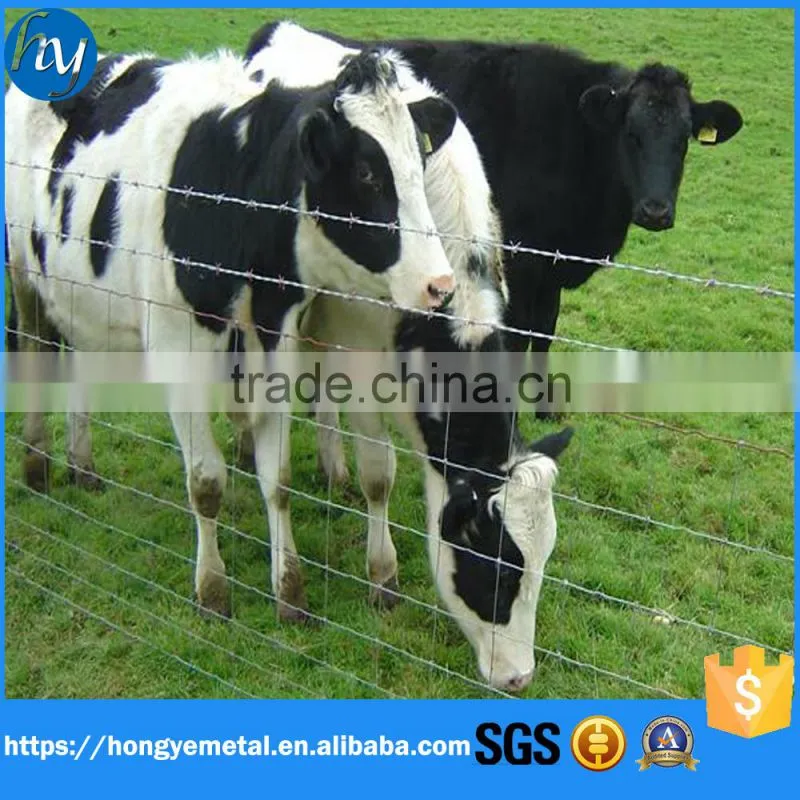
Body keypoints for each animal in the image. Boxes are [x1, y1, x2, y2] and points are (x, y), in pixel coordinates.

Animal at [5, 46, 460, 622]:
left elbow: (278, 479)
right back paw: (37, 464)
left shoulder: (276, 341)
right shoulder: (178, 350)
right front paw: (212, 589)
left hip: (81, 294)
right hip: (24, 272)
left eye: (418, 165)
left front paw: (289, 590)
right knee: (35, 350)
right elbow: (205, 481)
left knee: (81, 362)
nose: (440, 285)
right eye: (366, 174)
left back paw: (81, 465)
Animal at [247, 21, 744, 412]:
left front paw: (545, 407)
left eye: (683, 139)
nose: (656, 210)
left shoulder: (551, 265)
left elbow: (545, 332)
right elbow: (519, 335)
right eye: (632, 133)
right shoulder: (521, 260)